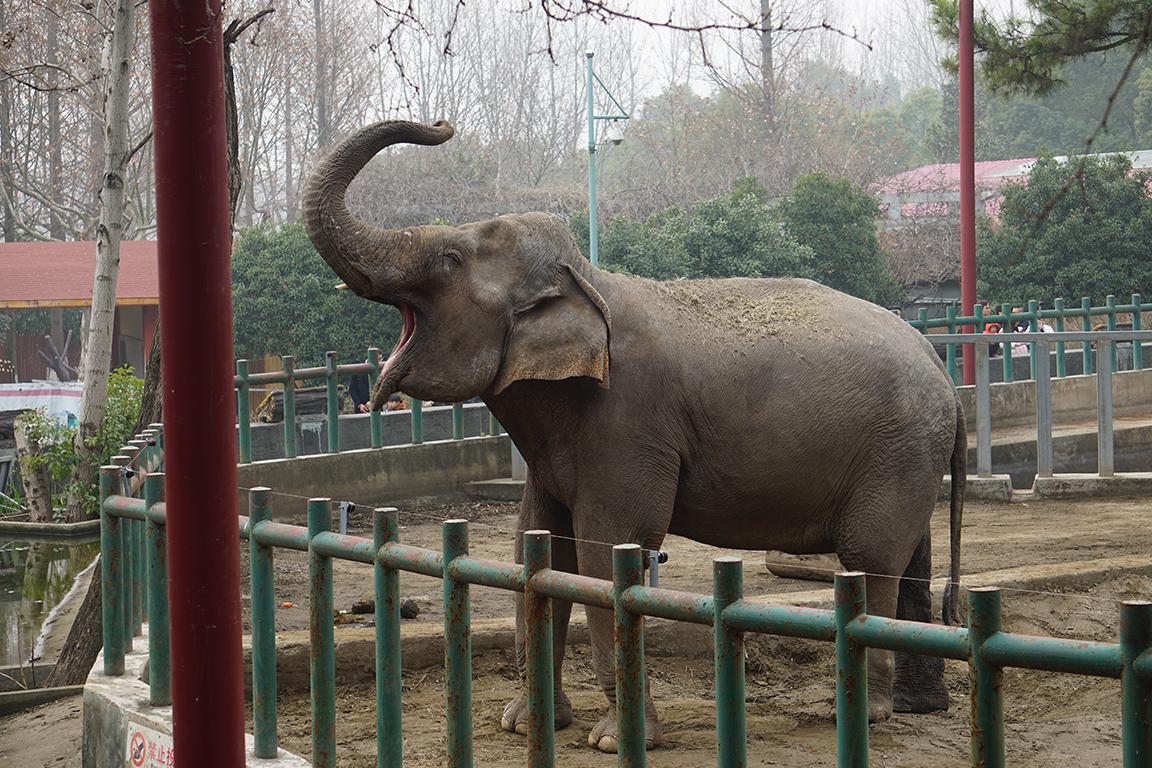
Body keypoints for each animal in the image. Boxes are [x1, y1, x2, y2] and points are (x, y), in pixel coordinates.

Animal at [302, 119, 966, 753]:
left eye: (449, 258)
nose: (441, 124)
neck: (587, 280)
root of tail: (943, 373)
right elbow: (538, 547)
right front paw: (524, 724)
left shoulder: (626, 422)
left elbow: (605, 550)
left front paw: (612, 739)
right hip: (907, 451)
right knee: (911, 558)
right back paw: (916, 707)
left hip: (896, 449)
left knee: (870, 559)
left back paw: (864, 713)